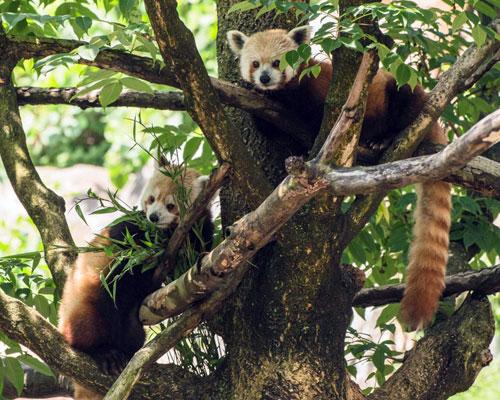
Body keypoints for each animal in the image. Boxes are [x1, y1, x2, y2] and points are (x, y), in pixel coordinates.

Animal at [59, 162, 215, 396]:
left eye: (171, 205)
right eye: (151, 199)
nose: (154, 217)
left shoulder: (200, 227)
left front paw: (199, 259)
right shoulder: (129, 230)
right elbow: (126, 257)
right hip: (83, 304)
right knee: (89, 323)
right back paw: (102, 351)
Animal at [229, 26, 452, 330]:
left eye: (276, 63)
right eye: (255, 64)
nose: (264, 78)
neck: (286, 93)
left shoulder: (318, 91)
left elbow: (314, 122)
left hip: (403, 91)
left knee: (404, 104)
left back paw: (384, 139)